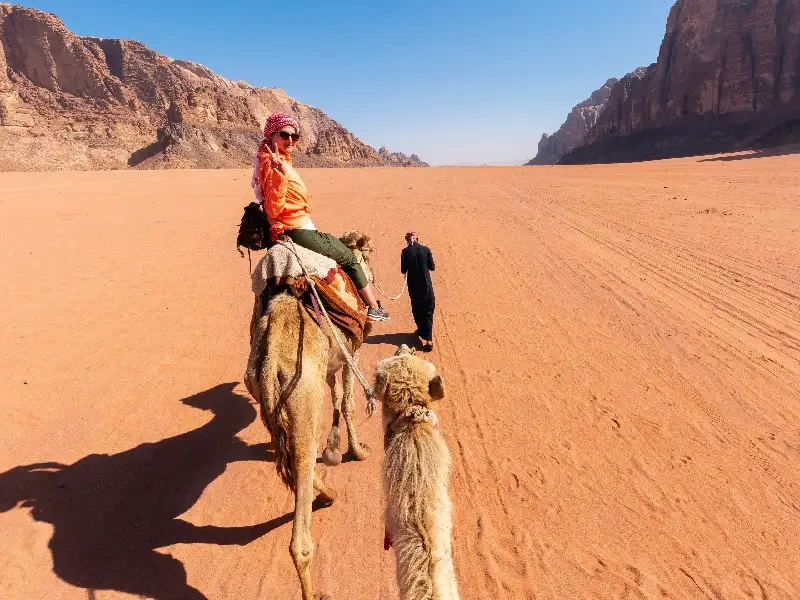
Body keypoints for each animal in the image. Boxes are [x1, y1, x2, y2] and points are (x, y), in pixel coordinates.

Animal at [242, 231, 376, 600]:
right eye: (369, 252)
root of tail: (271, 360)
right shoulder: (350, 353)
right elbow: (348, 401)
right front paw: (358, 450)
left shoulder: (330, 364)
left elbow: (337, 397)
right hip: (302, 398)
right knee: (299, 539)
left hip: (266, 398)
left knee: (298, 459)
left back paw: (328, 493)